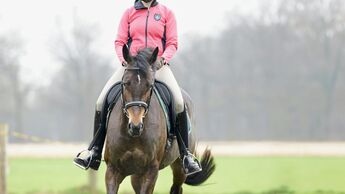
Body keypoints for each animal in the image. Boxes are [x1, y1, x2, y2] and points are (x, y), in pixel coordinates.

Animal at [103, 45, 214, 194]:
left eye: (150, 85)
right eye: (126, 83)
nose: (136, 126)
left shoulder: (150, 171)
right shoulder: (113, 170)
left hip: (179, 167)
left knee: (176, 188)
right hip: (136, 175)